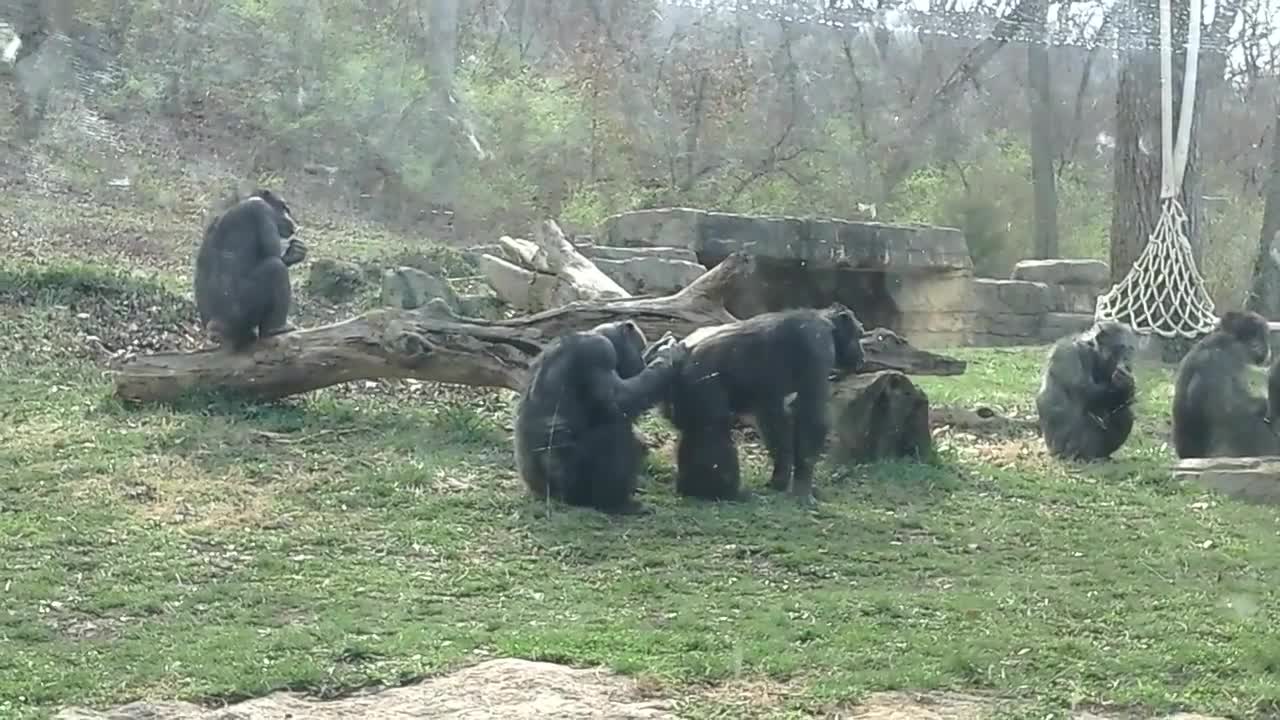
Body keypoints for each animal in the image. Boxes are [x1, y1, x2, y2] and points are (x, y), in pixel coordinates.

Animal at [193, 188, 305, 351]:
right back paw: (275, 330)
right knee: (276, 269)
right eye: (284, 209)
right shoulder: (261, 210)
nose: (291, 220)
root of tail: (215, 328)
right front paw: (294, 253)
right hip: (239, 313)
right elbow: (273, 253)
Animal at [512, 317, 691, 509]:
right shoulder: (600, 352)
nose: (641, 361)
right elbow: (620, 399)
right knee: (616, 431)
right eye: (640, 347)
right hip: (570, 484)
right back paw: (616, 503)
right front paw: (670, 355)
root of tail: (538, 492)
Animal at [660, 304, 870, 502]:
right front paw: (803, 487)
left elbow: (773, 420)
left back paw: (692, 488)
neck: (828, 324)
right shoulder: (817, 345)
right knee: (713, 429)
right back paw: (725, 492)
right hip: (702, 383)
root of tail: (680, 353)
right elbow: (811, 412)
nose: (862, 354)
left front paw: (781, 478)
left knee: (693, 431)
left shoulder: (769, 398)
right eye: (859, 334)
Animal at [1034, 320, 1136, 458]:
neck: (1094, 352)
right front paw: (1126, 386)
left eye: (1130, 349)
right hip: (1070, 448)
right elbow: (1086, 392)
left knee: (1125, 414)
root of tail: (1050, 451)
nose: (1127, 359)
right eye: (1121, 347)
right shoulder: (1068, 354)